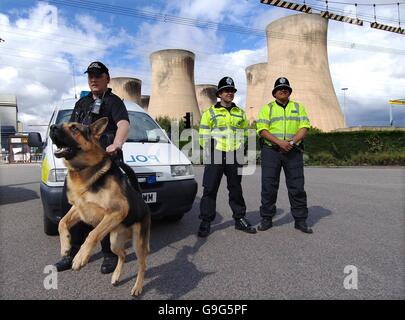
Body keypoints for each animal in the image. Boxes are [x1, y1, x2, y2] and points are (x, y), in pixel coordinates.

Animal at [49, 117, 150, 296]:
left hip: (137, 243)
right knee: (123, 254)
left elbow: (92, 234)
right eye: (63, 124)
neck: (84, 169)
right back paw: (116, 276)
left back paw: (137, 287)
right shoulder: (78, 209)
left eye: (74, 128)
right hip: (114, 241)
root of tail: (143, 201)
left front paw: (80, 257)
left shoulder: (117, 211)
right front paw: (66, 246)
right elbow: (62, 222)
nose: (52, 127)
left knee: (142, 264)